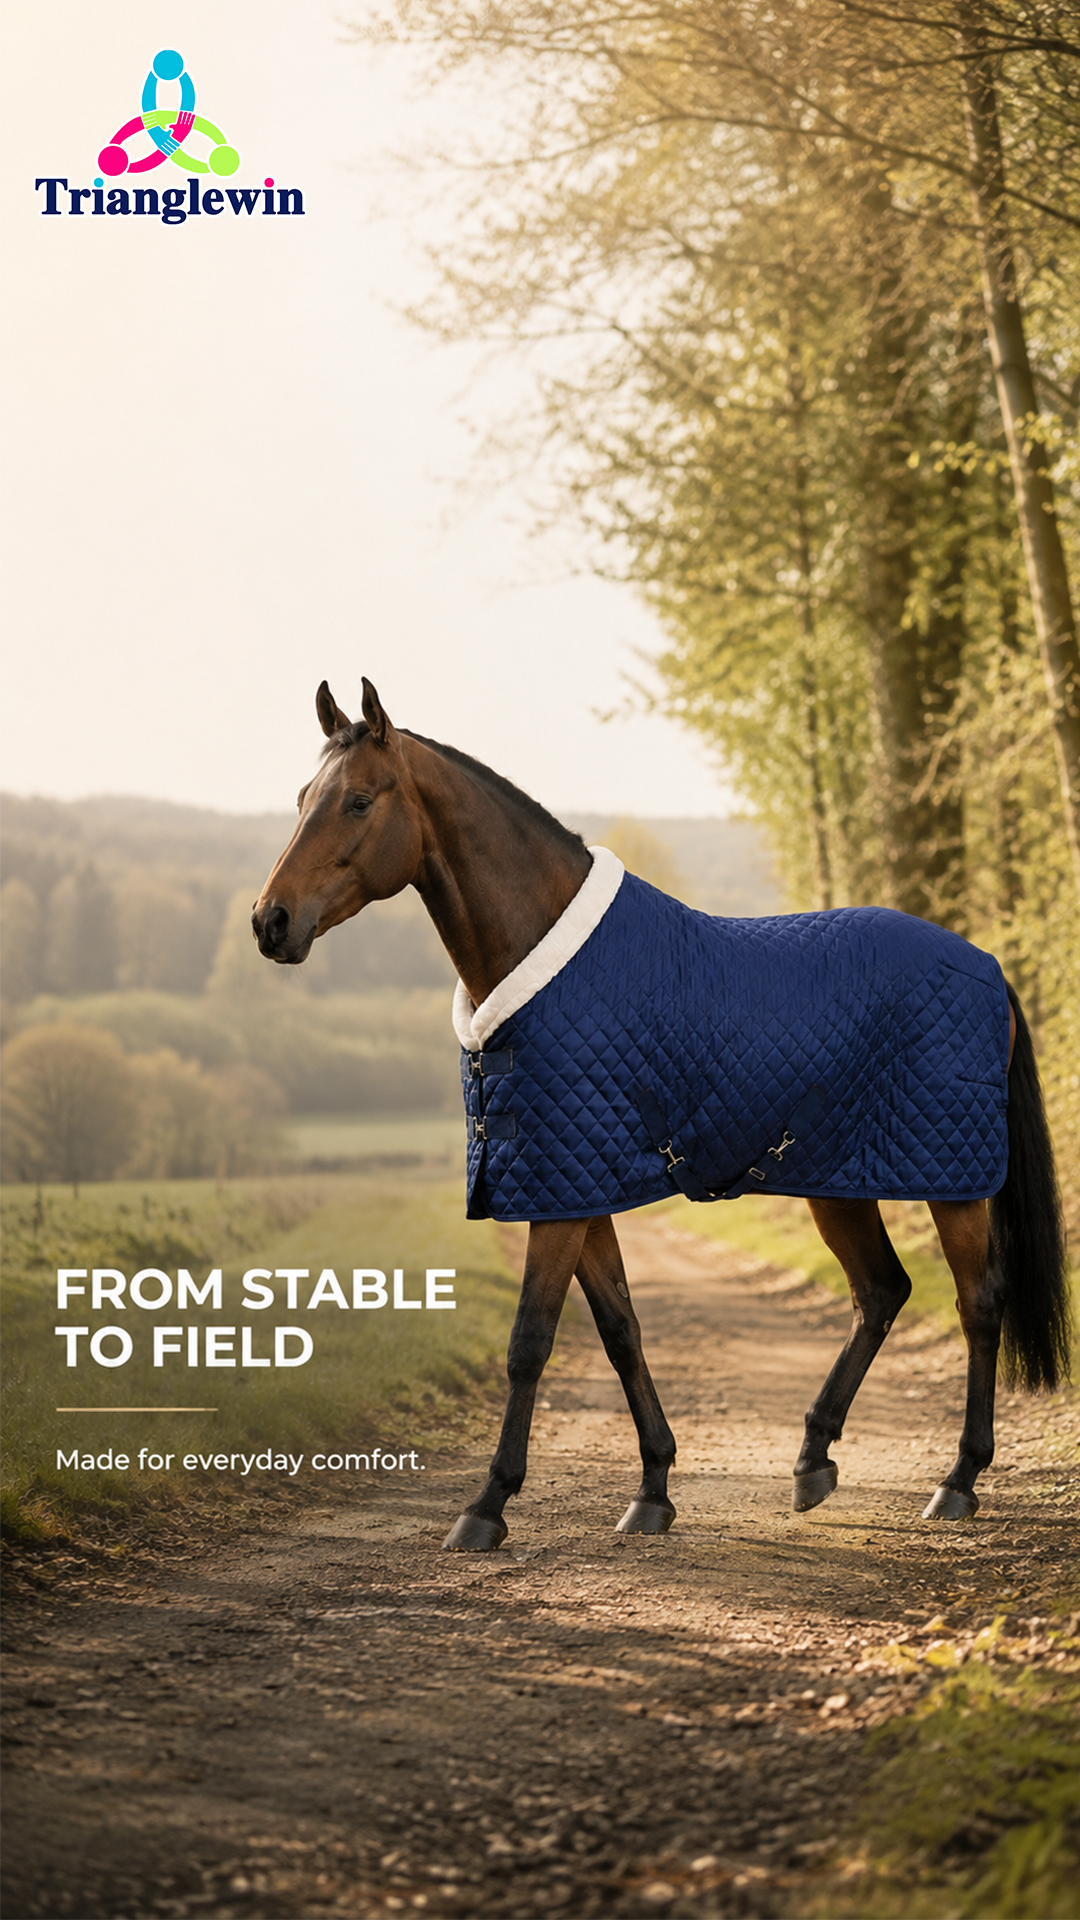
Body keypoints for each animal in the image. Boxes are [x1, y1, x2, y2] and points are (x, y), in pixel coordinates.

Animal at [253, 677, 1071, 1549]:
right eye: (302, 798)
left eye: (358, 801)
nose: (271, 921)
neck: (543, 960)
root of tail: (986, 965)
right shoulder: (577, 1186)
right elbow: (620, 1331)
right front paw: (652, 1488)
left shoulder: (560, 1192)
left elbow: (530, 1340)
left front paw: (488, 1504)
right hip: (837, 1179)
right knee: (881, 1291)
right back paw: (813, 1458)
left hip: (953, 1183)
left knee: (978, 1302)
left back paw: (958, 1479)